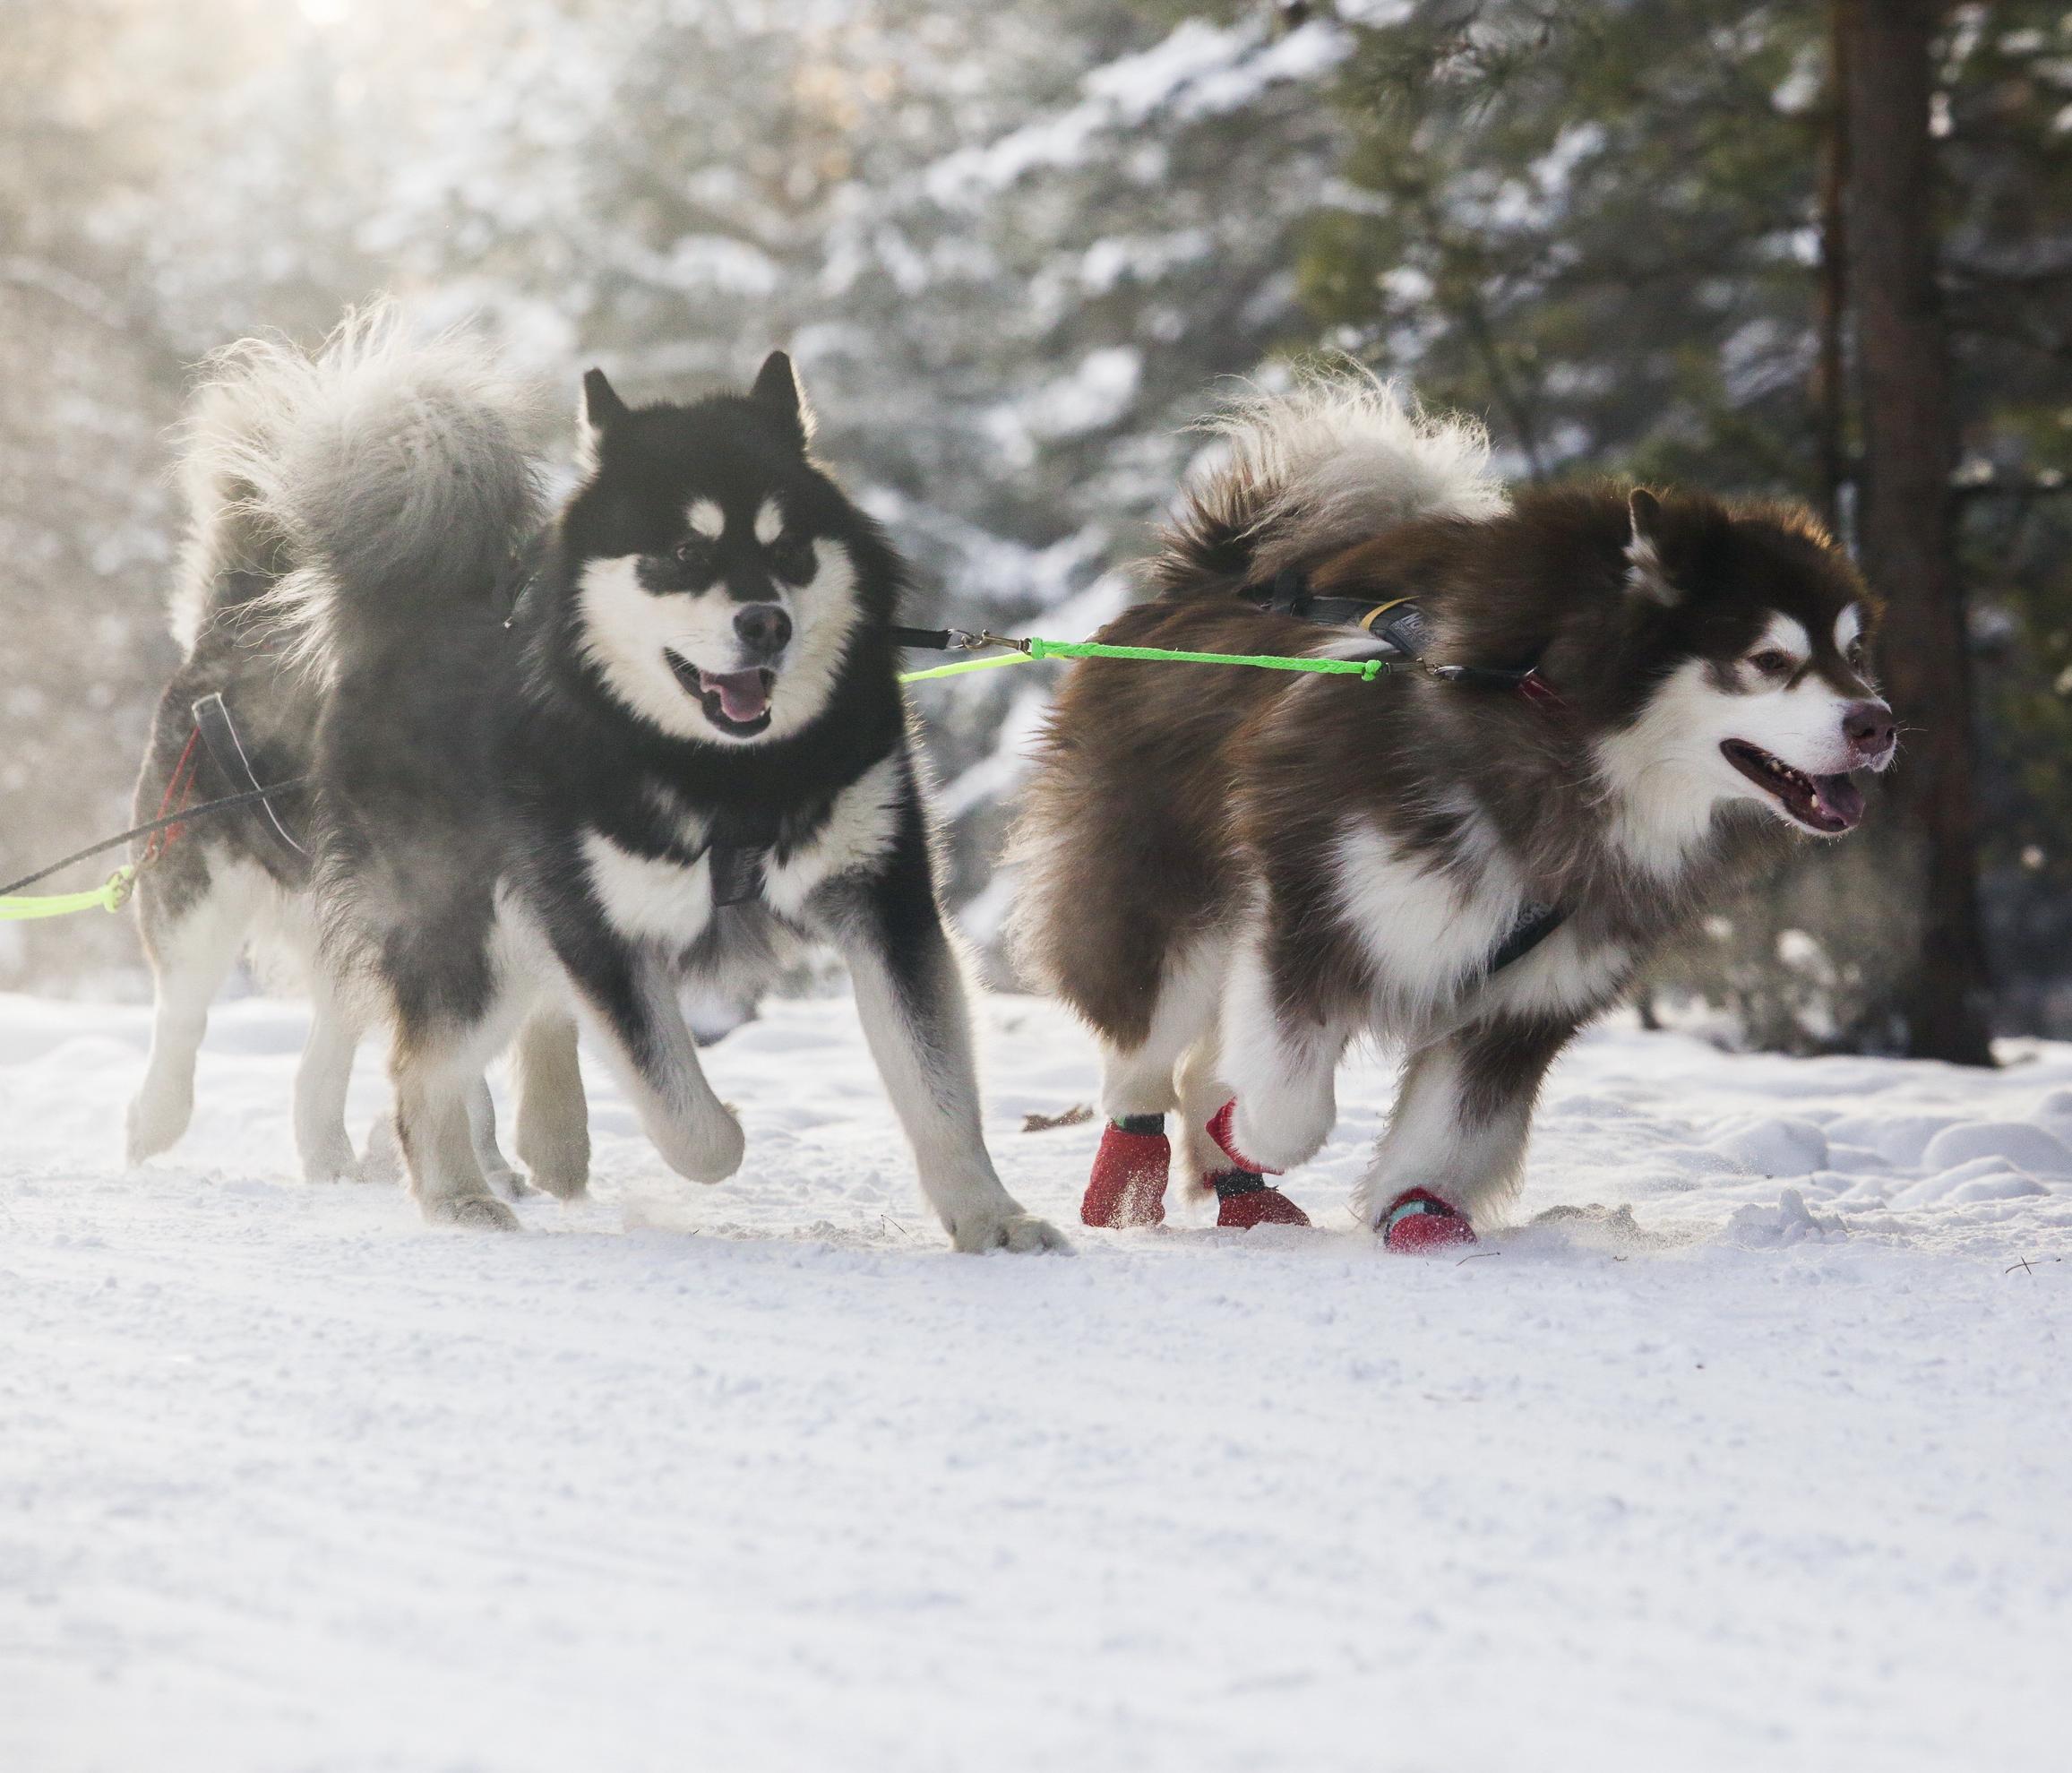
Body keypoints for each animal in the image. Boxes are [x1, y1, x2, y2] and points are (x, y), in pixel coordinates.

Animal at [125, 308, 1069, 1243]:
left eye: (791, 548)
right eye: (683, 552)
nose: (765, 623)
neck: (723, 775)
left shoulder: (883, 899)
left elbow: (935, 1085)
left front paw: (990, 1215)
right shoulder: (594, 920)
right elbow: (688, 1119)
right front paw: (714, 1126)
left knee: (388, 1045)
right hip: (377, 902)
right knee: (337, 1045)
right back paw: (435, 1186)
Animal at [1010, 376, 1897, 1243]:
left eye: (1854, 654)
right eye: (1768, 659)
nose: (1878, 723)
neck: (1570, 752)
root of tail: (1208, 583)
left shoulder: (1524, 1001)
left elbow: (1450, 1125)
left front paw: (1416, 1212)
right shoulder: (1312, 914)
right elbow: (1293, 1109)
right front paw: (1246, 1131)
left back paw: (1244, 1197)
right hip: (1172, 911)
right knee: (1146, 1049)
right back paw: (1127, 1190)